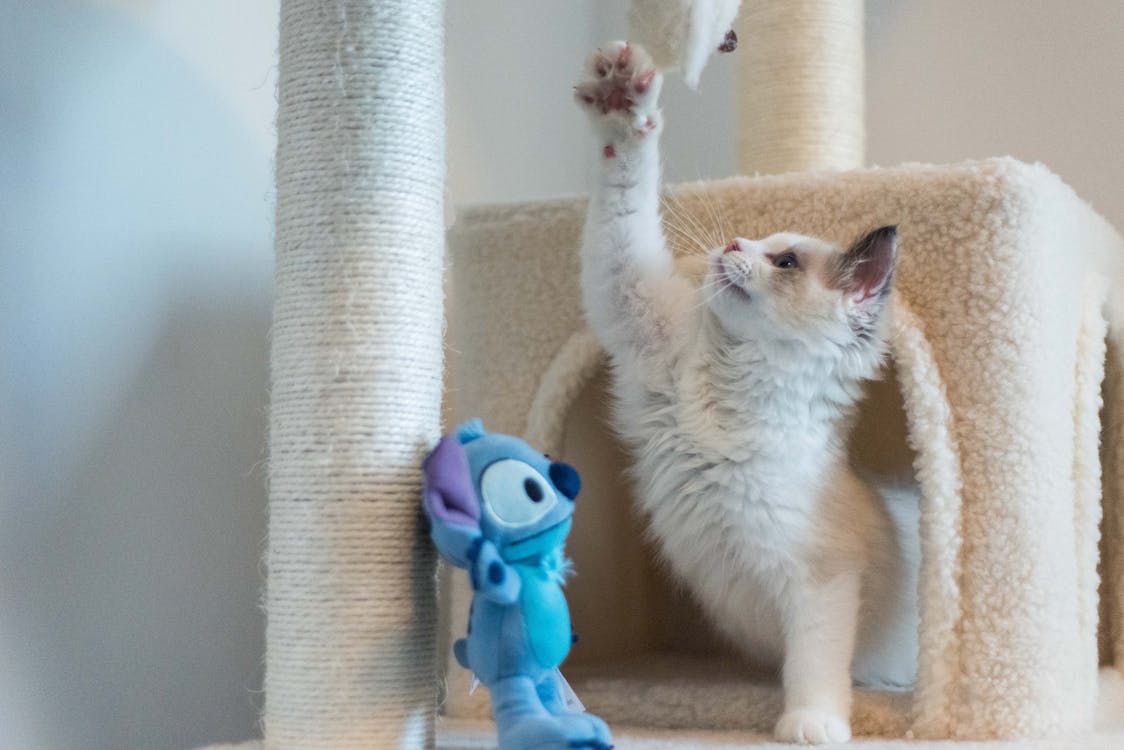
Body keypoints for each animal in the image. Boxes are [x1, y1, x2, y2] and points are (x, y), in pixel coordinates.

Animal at [575, 42, 917, 746]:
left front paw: (810, 725)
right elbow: (623, 196)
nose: (732, 245)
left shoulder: (821, 581)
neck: (737, 393)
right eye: (754, 243)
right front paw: (623, 101)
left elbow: (813, 663)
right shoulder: (638, 319)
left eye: (784, 261)